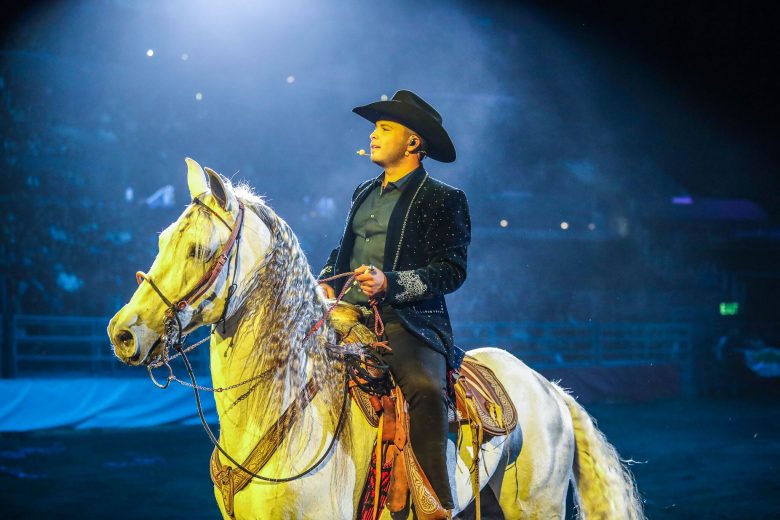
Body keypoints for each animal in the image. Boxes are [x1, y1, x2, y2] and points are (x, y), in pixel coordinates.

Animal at [109, 158, 644, 520]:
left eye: (199, 249)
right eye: (161, 241)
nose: (123, 333)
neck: (290, 416)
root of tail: (547, 387)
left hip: (536, 505)